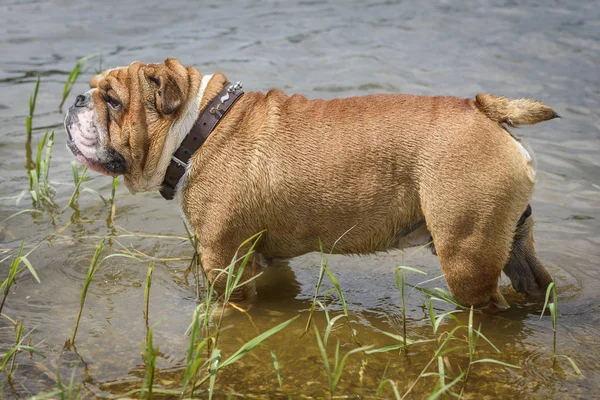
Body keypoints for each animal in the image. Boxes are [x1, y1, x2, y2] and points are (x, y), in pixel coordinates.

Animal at [63, 58, 556, 310]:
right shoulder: (265, 254)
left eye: (113, 101)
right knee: (535, 281)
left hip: (465, 252)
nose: (77, 98)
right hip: (509, 237)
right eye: (94, 90)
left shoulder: (222, 259)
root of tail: (485, 109)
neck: (196, 126)